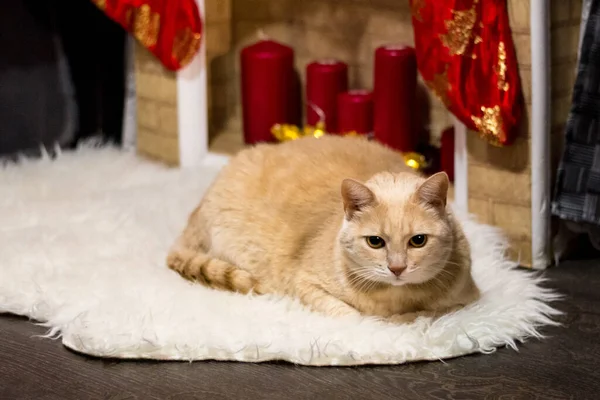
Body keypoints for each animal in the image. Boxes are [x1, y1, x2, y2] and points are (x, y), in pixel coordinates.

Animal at [166, 136, 480, 324]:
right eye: (375, 242)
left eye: (418, 241)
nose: (397, 268)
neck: (394, 297)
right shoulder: (305, 284)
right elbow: (353, 316)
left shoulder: (468, 301)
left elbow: (427, 313)